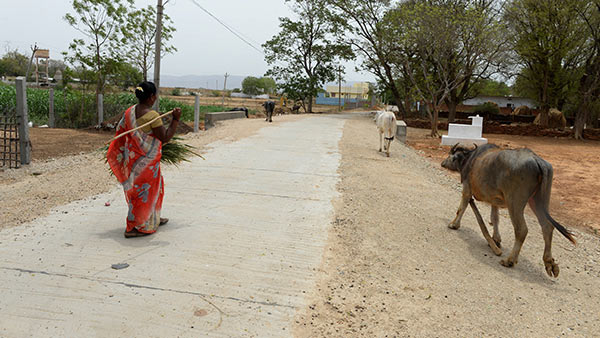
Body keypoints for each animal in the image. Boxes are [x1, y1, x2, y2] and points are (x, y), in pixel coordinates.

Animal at [440, 143, 576, 278]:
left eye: (450, 155)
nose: (442, 163)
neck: (470, 159)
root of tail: (536, 159)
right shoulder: (494, 200)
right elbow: (495, 218)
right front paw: (496, 240)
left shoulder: (467, 189)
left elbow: (462, 207)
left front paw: (454, 224)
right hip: (538, 200)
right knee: (547, 226)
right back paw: (549, 263)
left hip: (514, 203)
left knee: (521, 230)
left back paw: (509, 260)